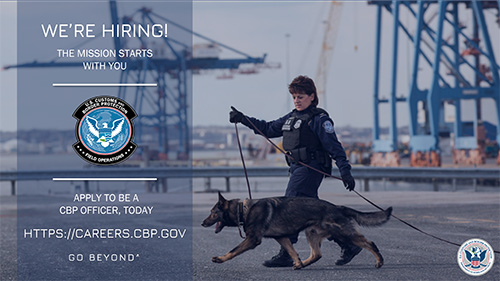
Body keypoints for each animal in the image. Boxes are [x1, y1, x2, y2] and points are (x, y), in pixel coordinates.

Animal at [201, 191, 392, 268]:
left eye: (213, 213)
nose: (202, 223)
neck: (243, 210)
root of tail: (338, 207)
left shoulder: (252, 239)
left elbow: (233, 250)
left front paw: (220, 259)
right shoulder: (282, 237)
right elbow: (292, 252)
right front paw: (298, 262)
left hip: (343, 232)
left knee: (369, 242)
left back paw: (379, 261)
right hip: (312, 233)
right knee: (316, 254)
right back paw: (302, 265)